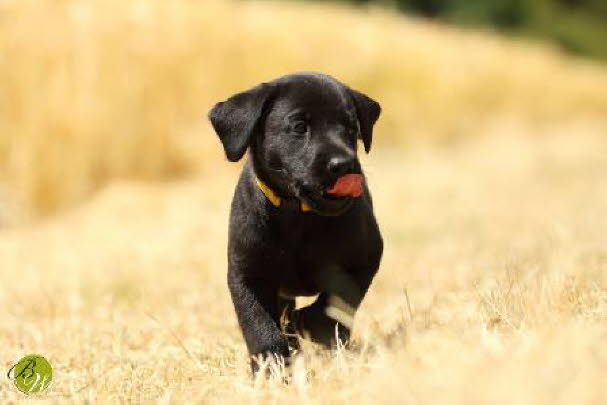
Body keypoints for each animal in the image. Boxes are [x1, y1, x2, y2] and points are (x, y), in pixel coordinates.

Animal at [208, 72, 380, 370]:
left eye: (351, 127)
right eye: (299, 127)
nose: (344, 164)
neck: (298, 215)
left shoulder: (366, 258)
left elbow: (338, 300)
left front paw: (307, 324)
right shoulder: (246, 275)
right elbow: (259, 326)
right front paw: (271, 366)